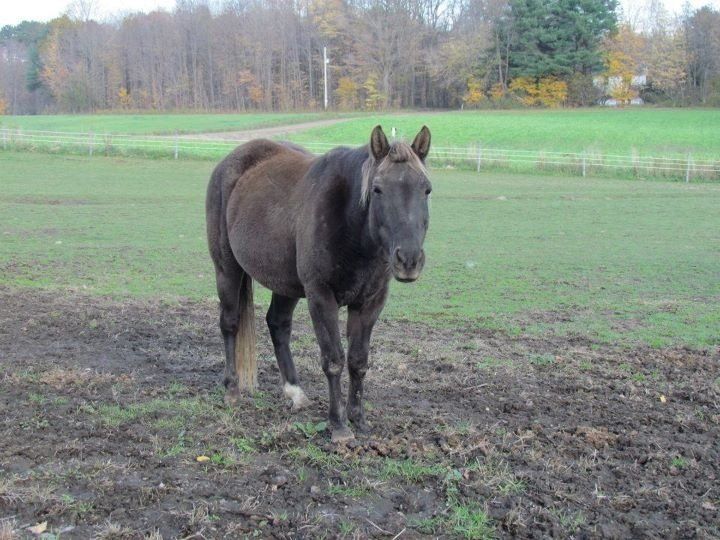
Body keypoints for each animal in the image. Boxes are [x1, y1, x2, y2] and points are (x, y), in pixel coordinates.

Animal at [206, 125, 432, 442]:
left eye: (426, 189)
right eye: (377, 189)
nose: (408, 259)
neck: (353, 231)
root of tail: (230, 162)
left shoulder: (370, 303)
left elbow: (358, 361)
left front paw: (358, 419)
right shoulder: (321, 297)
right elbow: (334, 359)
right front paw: (339, 425)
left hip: (285, 284)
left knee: (278, 324)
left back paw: (295, 392)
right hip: (227, 269)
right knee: (230, 323)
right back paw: (232, 390)